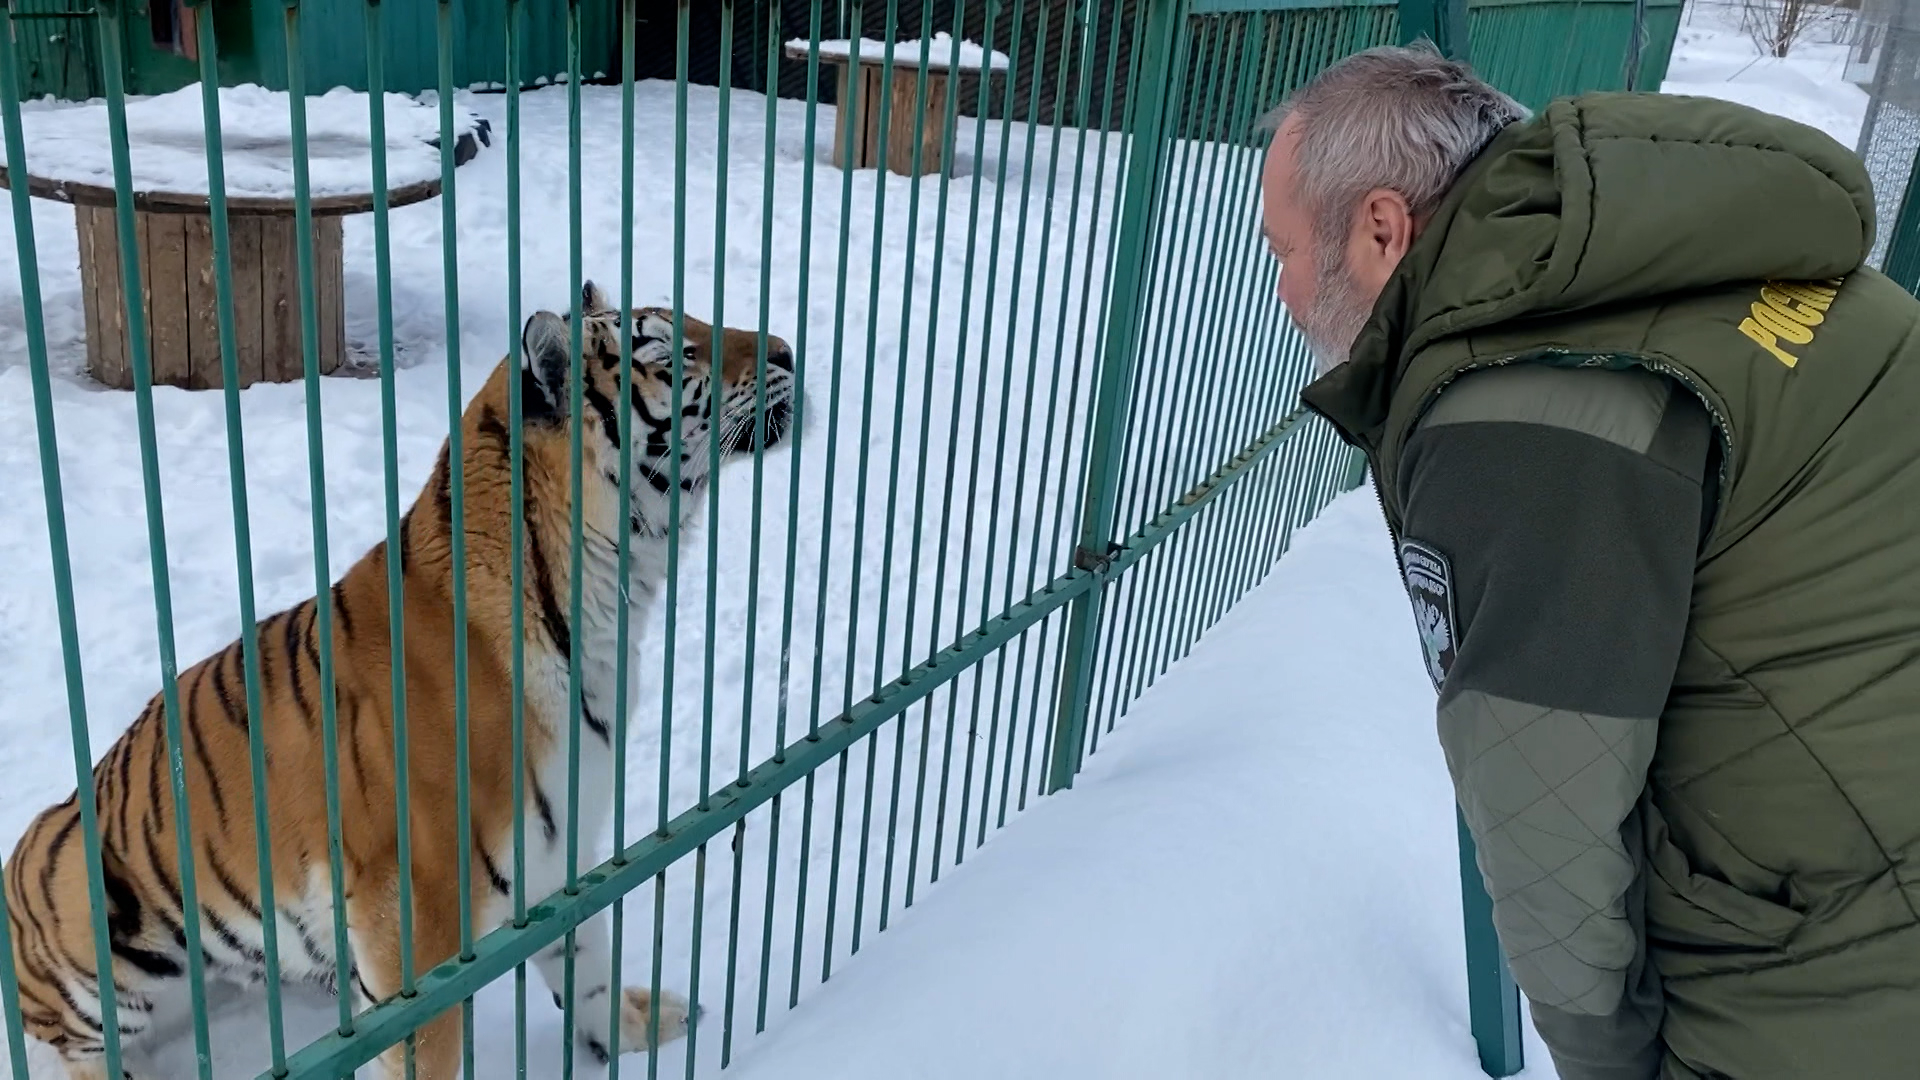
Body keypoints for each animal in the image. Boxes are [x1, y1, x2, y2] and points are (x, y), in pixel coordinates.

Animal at [0, 278, 794, 1076]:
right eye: (670, 351)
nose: (789, 350)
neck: (608, 591)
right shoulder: (417, 908)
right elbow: (428, 1043)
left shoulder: (559, 845)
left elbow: (588, 959)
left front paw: (631, 1033)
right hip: (92, 927)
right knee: (77, 1041)